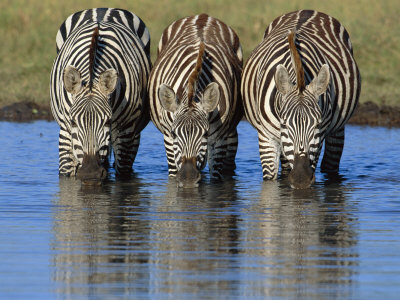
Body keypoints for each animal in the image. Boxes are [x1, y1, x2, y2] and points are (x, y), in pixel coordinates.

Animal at [48, 8, 152, 182]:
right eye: (73, 122)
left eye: (107, 121)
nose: (90, 174)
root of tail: (102, 9)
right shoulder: (65, 129)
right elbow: (66, 173)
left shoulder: (125, 130)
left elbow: (122, 176)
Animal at [148, 14, 244, 188]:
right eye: (174, 133)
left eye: (205, 133)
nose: (188, 178)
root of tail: (202, 16)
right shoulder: (168, 137)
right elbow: (173, 176)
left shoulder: (219, 139)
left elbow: (216, 180)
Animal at [241, 9, 362, 188]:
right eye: (284, 123)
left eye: (317, 124)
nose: (301, 178)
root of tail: (306, 10)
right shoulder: (266, 136)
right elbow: (270, 178)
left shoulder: (318, 139)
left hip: (338, 128)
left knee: (331, 164)